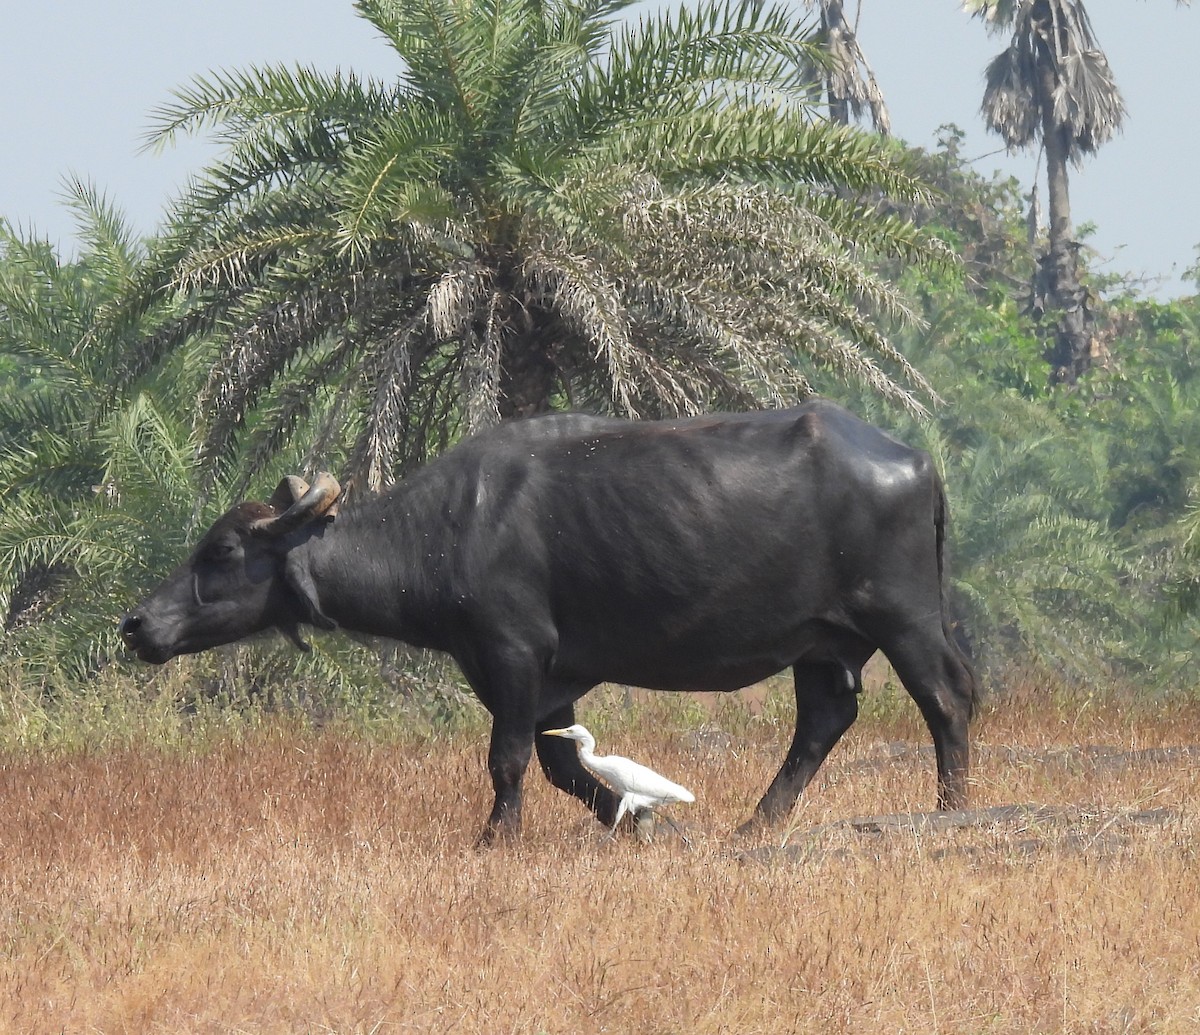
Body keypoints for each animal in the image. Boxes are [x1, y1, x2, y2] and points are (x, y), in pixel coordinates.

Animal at [119, 401, 977, 843]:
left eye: (222, 549)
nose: (136, 624)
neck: (452, 526)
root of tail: (916, 461)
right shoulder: (549, 682)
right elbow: (566, 766)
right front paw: (639, 826)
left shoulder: (512, 655)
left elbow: (507, 761)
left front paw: (496, 837)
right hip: (820, 640)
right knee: (824, 719)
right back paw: (755, 825)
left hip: (902, 617)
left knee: (947, 700)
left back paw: (951, 808)